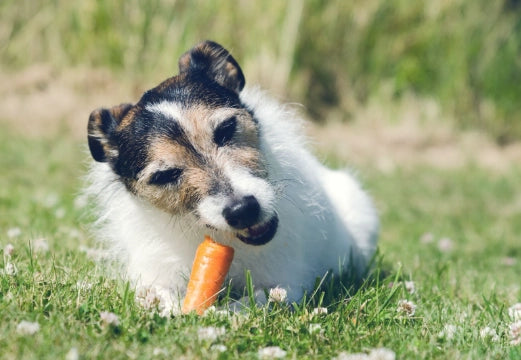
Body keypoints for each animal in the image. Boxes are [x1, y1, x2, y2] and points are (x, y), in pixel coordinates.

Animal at [86, 40, 378, 316]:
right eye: (165, 175)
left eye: (226, 129)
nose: (243, 210)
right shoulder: (153, 274)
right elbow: (156, 293)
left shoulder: (287, 283)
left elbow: (258, 299)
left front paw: (224, 313)